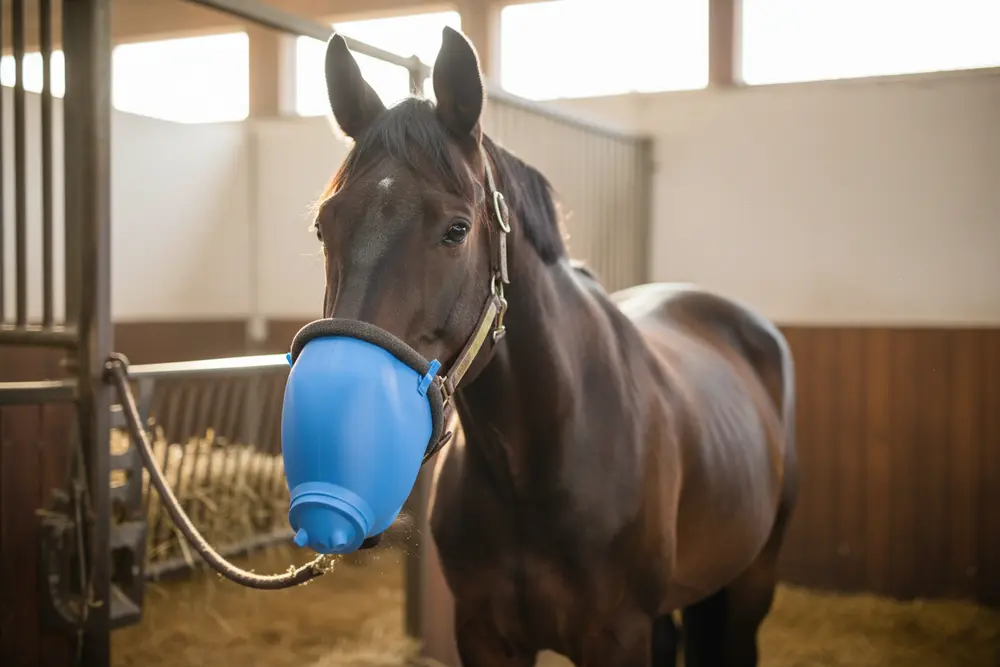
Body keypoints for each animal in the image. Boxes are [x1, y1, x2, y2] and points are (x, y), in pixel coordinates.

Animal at [312, 26, 799, 667]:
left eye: (457, 229)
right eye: (323, 225)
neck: (538, 461)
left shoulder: (617, 637)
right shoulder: (485, 634)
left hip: (750, 582)